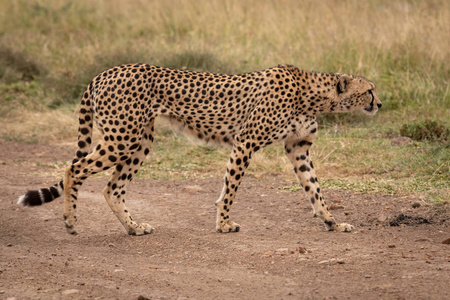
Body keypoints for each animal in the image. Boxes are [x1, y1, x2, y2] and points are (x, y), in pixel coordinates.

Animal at [18, 63, 384, 234]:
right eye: (369, 90)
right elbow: (230, 188)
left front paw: (332, 222)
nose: (380, 103)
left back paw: (134, 228)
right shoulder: (246, 141)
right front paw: (224, 224)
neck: (312, 94)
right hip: (122, 136)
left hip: (140, 140)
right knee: (73, 169)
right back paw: (70, 221)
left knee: (112, 188)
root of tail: (106, 71)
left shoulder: (299, 148)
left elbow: (315, 189)